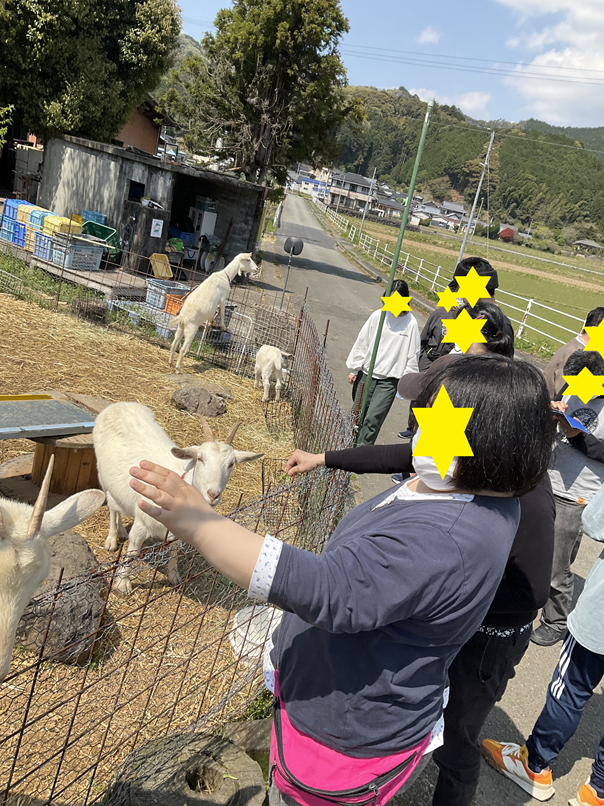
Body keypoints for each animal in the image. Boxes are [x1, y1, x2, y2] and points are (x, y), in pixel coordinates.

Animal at [93, 402, 263, 594]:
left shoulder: (178, 533)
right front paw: (123, 584)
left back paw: (121, 532)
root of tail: (119, 404)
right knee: (112, 507)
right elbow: (132, 553)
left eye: (231, 464)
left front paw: (174, 577)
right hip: (102, 474)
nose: (213, 495)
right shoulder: (142, 523)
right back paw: (112, 538)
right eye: (200, 459)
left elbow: (174, 554)